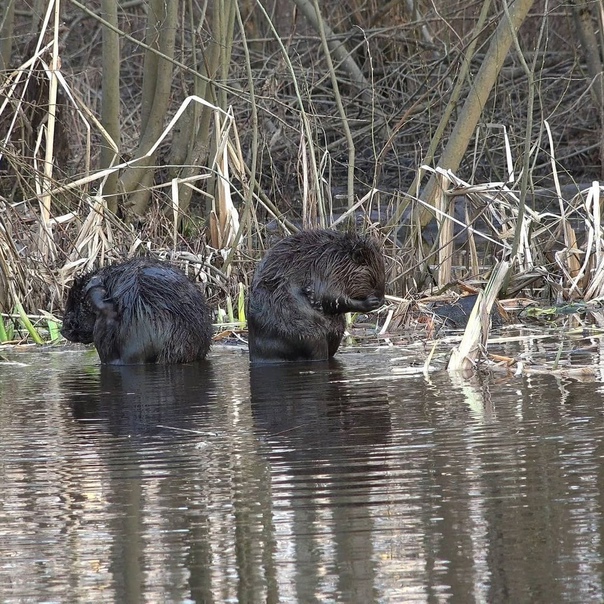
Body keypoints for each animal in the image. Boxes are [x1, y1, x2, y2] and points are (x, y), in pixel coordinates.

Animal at [247, 229, 384, 364]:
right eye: (372, 281)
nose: (381, 299)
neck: (337, 257)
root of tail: (256, 357)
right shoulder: (325, 270)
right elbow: (328, 295)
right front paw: (371, 302)